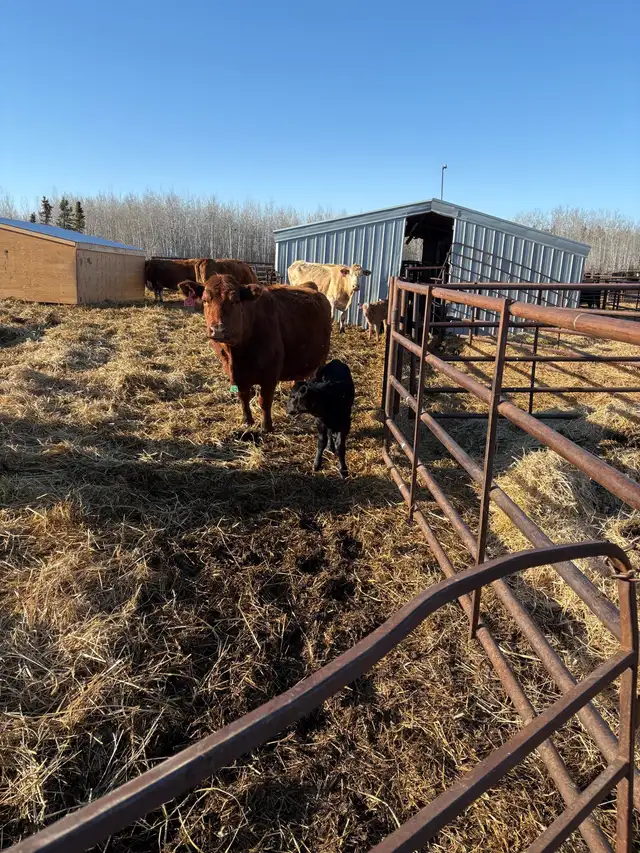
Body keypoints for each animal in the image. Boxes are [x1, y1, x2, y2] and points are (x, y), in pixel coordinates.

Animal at [201, 275, 332, 432]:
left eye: (235, 300)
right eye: (205, 300)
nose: (218, 329)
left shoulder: (270, 375)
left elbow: (264, 401)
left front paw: (267, 427)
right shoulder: (234, 375)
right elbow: (244, 398)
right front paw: (247, 421)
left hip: (321, 359)